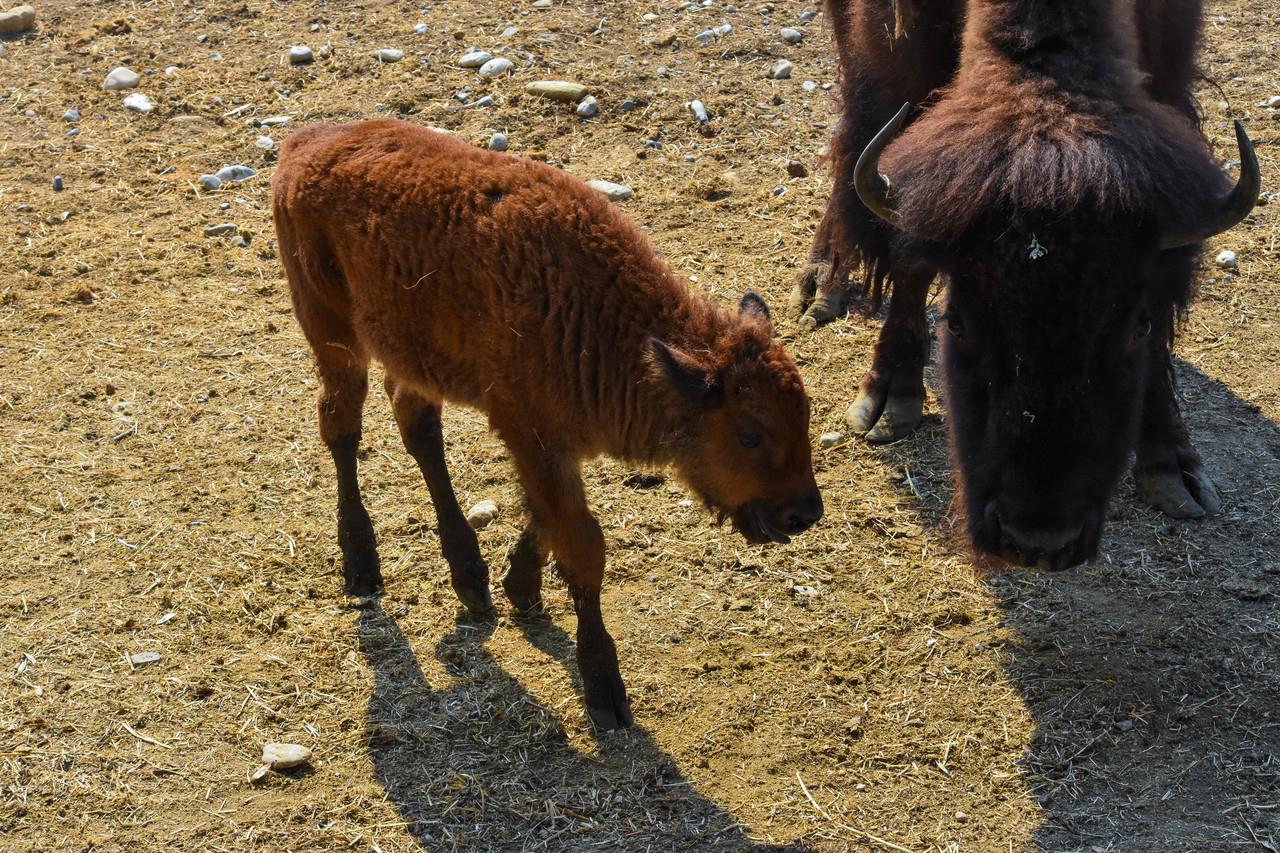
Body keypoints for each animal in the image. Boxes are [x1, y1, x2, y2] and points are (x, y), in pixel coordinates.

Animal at [275, 119, 824, 727]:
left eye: (803, 417)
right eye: (749, 434)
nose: (804, 513)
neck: (606, 327)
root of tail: (304, 142)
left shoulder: (548, 448)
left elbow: (546, 518)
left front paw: (519, 584)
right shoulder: (532, 437)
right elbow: (583, 545)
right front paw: (604, 687)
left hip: (409, 353)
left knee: (417, 427)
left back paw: (470, 577)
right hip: (332, 333)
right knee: (341, 426)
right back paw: (362, 565)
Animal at [793, 3, 1264, 571]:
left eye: (1138, 328)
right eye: (957, 323)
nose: (1039, 540)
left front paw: (1170, 465)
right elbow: (908, 246)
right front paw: (889, 399)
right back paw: (824, 282)